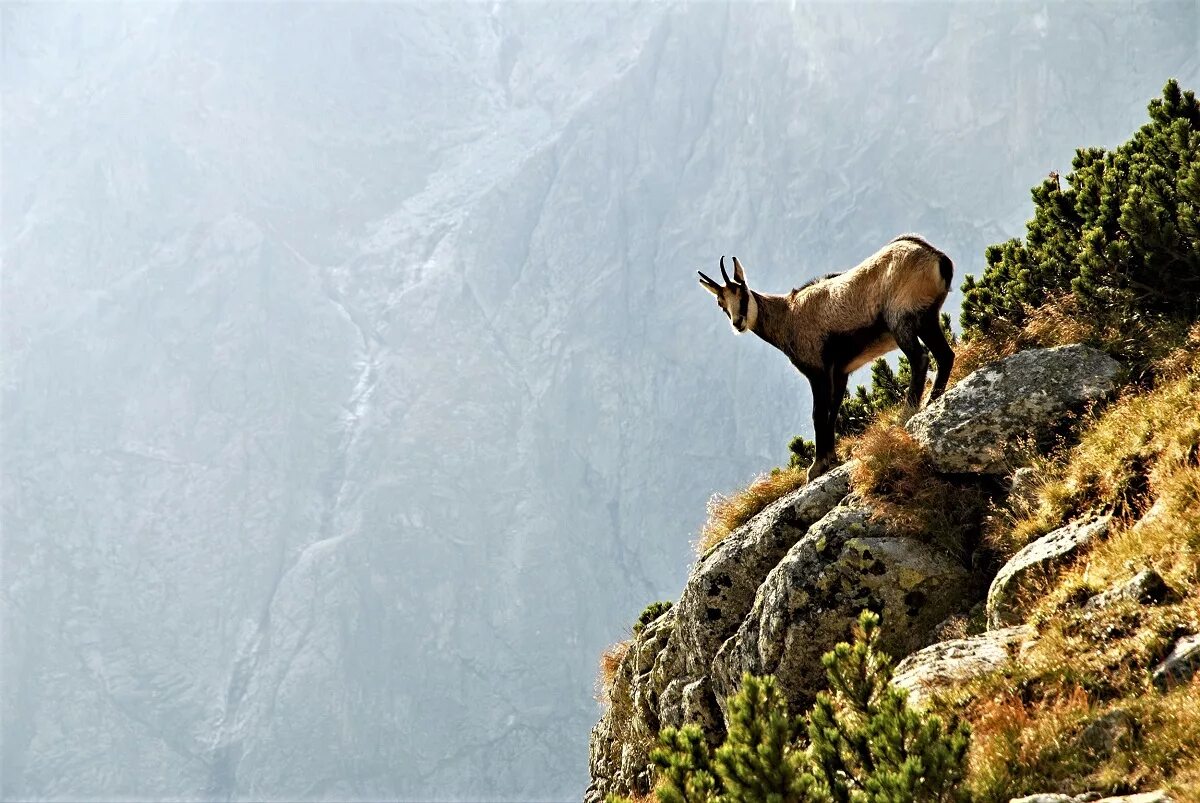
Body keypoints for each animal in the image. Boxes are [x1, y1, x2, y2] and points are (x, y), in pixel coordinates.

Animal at [700, 235, 950, 480]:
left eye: (742, 292)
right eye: (721, 303)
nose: (738, 323)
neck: (788, 315)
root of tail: (934, 255)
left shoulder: (818, 370)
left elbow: (818, 414)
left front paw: (816, 466)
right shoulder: (840, 372)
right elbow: (833, 411)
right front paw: (830, 458)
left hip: (900, 320)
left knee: (920, 358)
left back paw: (907, 411)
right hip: (927, 318)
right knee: (945, 355)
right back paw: (932, 399)